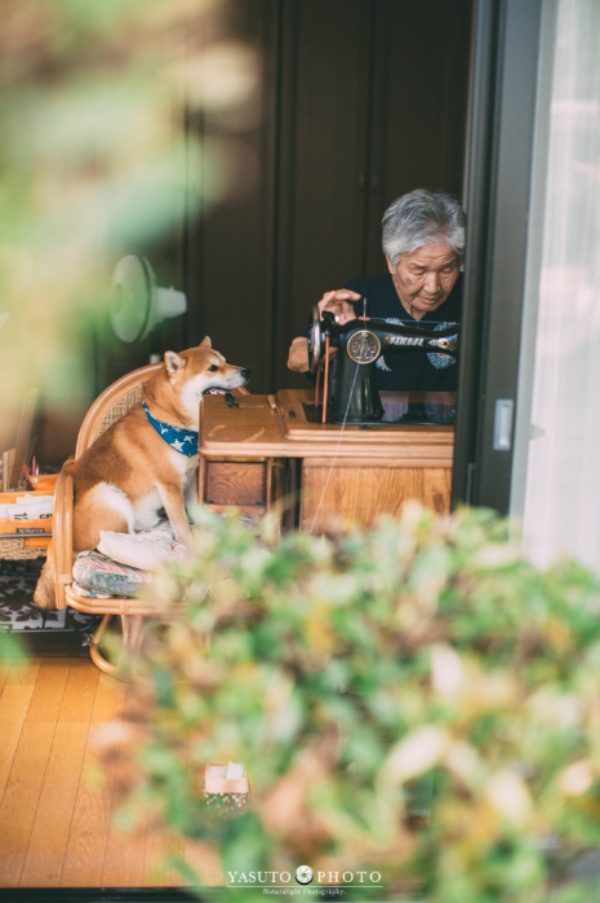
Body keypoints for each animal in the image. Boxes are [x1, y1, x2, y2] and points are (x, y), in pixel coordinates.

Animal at [34, 342, 250, 612]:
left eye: (225, 360)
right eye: (213, 368)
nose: (246, 371)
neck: (172, 424)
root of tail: (56, 545)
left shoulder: (190, 478)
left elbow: (197, 511)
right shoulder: (170, 485)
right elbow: (182, 526)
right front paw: (191, 548)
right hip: (108, 495)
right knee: (117, 540)